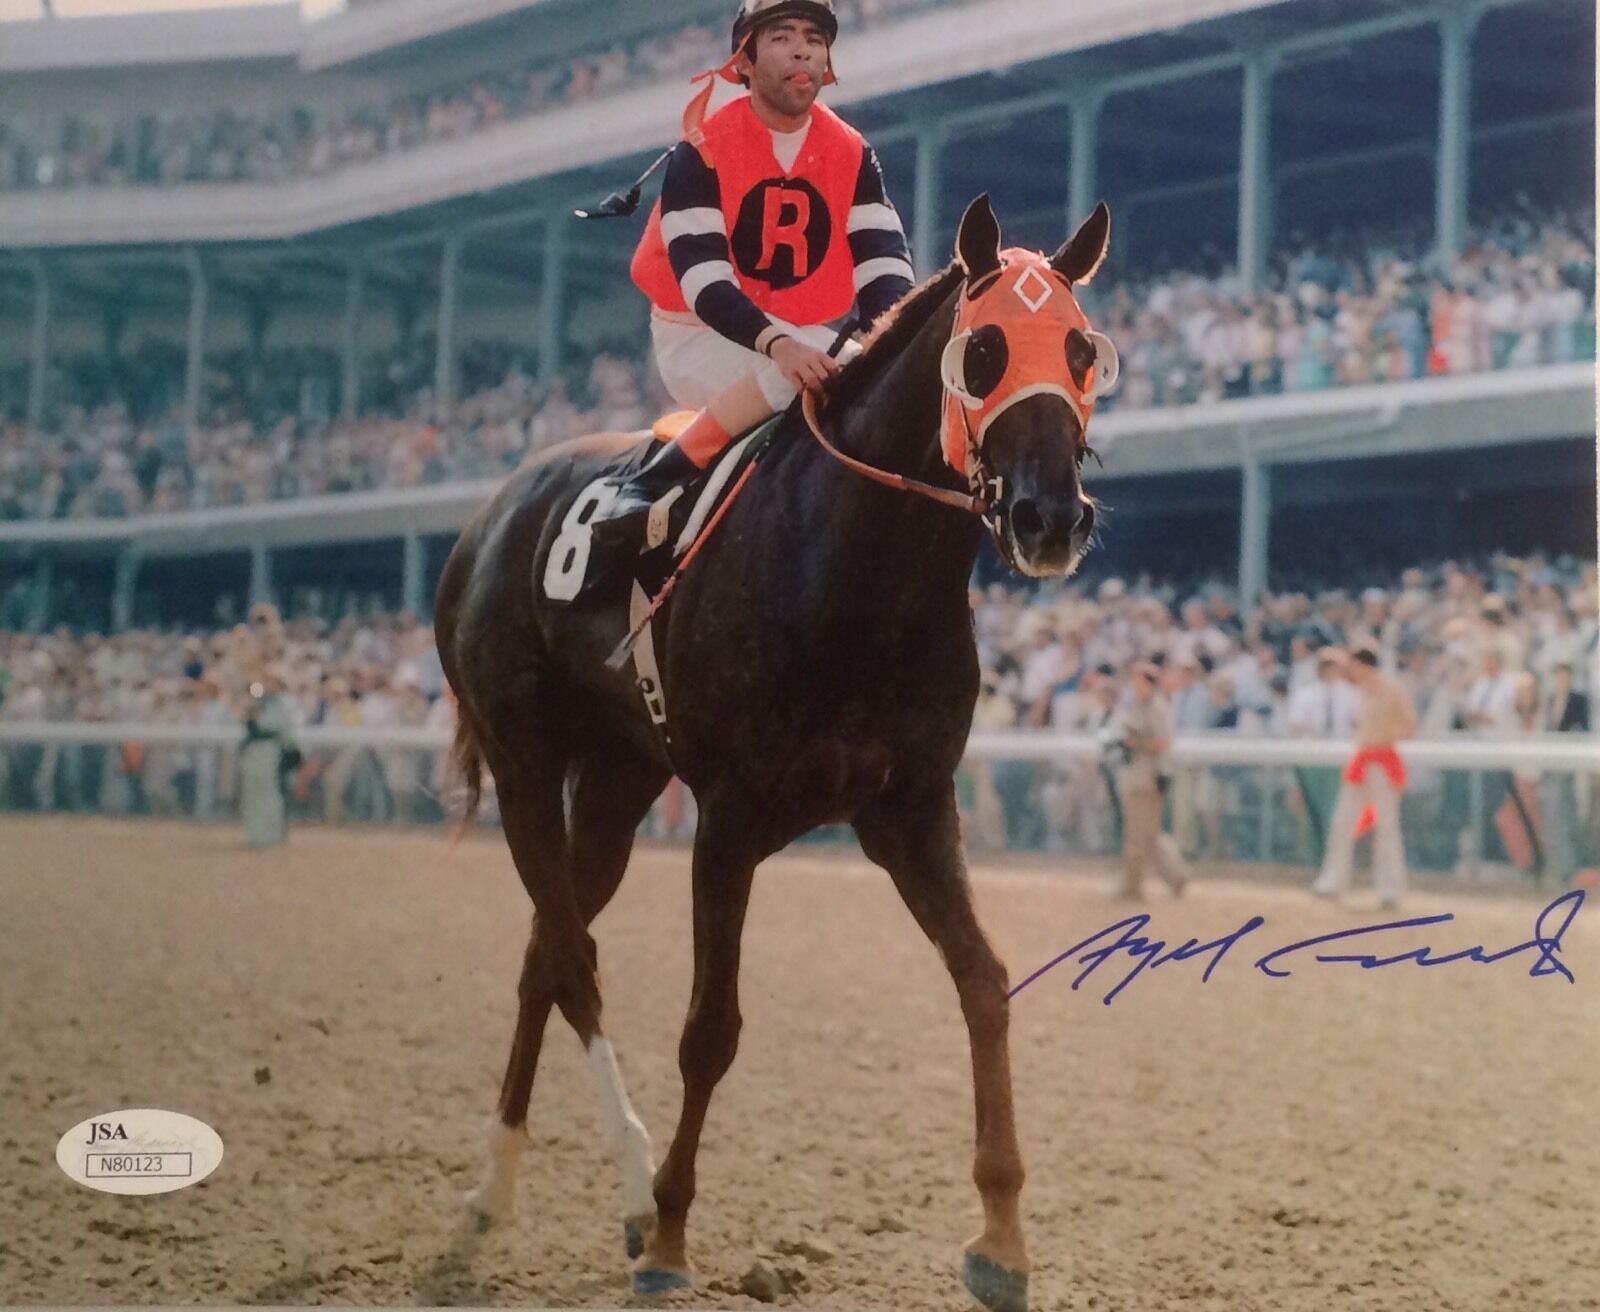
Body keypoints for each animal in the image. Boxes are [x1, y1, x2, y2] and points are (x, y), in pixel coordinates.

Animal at [432, 194, 1120, 1312]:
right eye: (982, 351)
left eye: (1079, 348)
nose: (1050, 517)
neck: (859, 570)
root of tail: (490, 514)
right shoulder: (731, 815)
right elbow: (711, 1028)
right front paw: (672, 1235)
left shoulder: (911, 809)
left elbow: (984, 982)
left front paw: (1003, 1238)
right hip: (524, 763)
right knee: (572, 959)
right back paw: (621, 1188)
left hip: (617, 784)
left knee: (546, 954)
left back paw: (501, 1184)